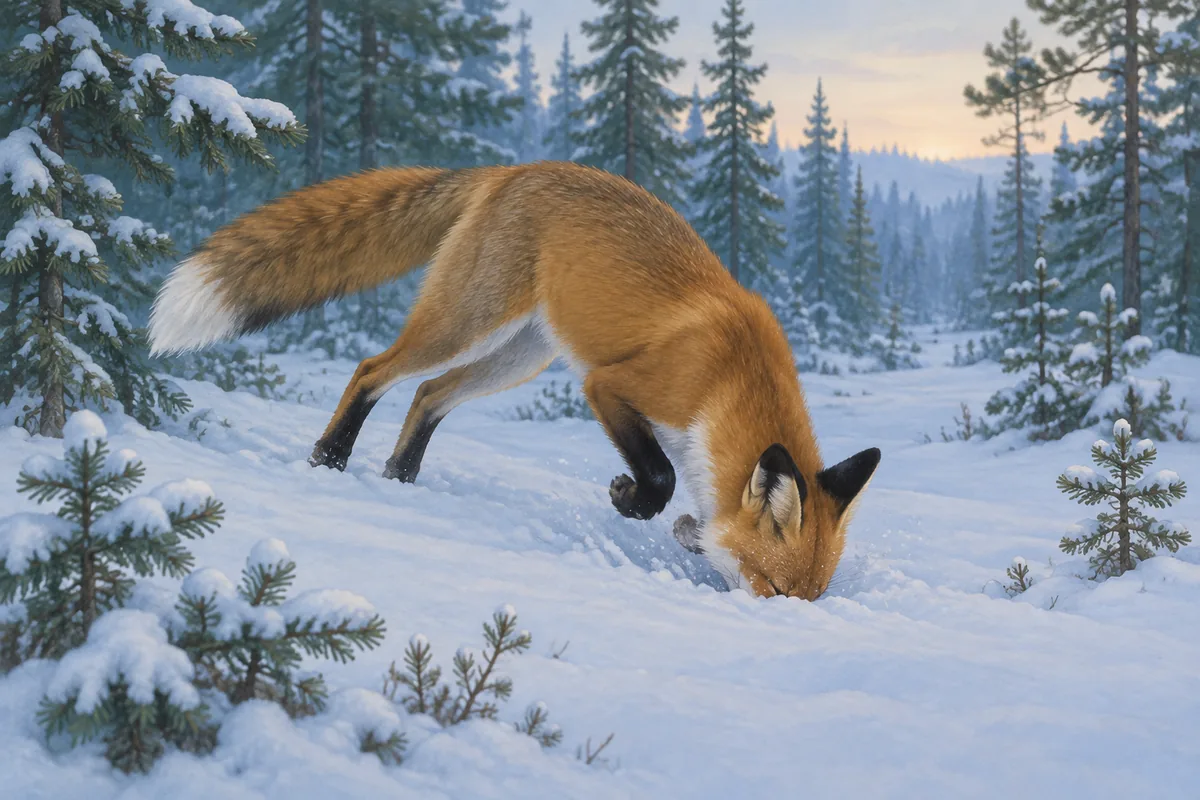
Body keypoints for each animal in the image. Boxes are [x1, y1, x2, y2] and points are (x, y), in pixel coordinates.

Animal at [147, 161, 880, 600]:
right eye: (776, 589)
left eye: (809, 598)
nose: (779, 619)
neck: (728, 383)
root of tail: (511, 169)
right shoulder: (612, 387)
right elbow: (662, 477)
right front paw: (631, 501)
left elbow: (692, 502)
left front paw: (686, 532)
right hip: (466, 325)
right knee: (373, 370)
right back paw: (329, 458)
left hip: (518, 356)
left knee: (427, 395)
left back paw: (400, 480)